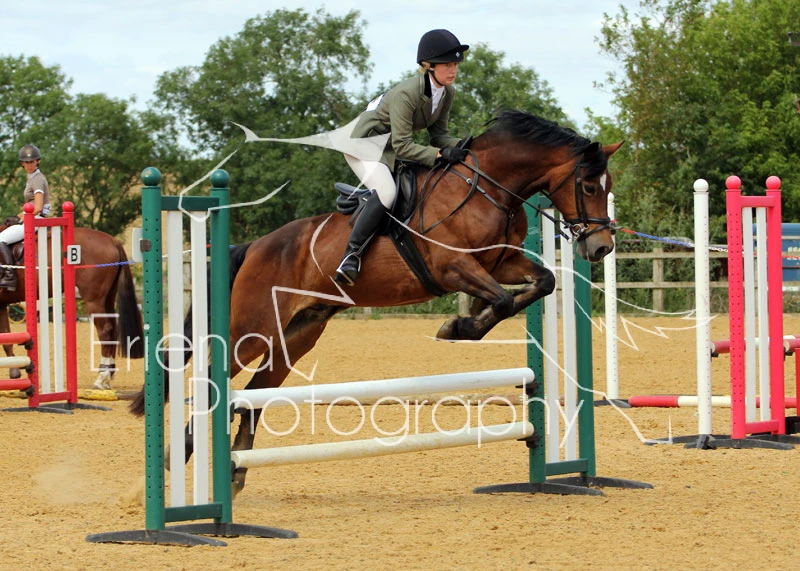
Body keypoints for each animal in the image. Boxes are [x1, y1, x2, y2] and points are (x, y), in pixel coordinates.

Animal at [0, 219, 144, 387]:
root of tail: (112, 241)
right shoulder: (2, 305)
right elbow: (7, 339)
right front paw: (14, 373)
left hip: (93, 300)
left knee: (105, 330)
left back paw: (101, 377)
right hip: (108, 297)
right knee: (113, 329)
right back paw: (108, 374)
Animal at [130, 109, 622, 496]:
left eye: (607, 185)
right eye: (588, 186)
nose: (600, 248)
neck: (489, 189)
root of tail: (254, 247)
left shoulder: (500, 262)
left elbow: (543, 283)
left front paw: (460, 328)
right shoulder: (453, 267)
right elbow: (501, 301)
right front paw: (456, 329)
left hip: (296, 335)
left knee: (253, 394)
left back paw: (234, 473)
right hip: (252, 330)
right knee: (215, 379)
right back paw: (177, 458)